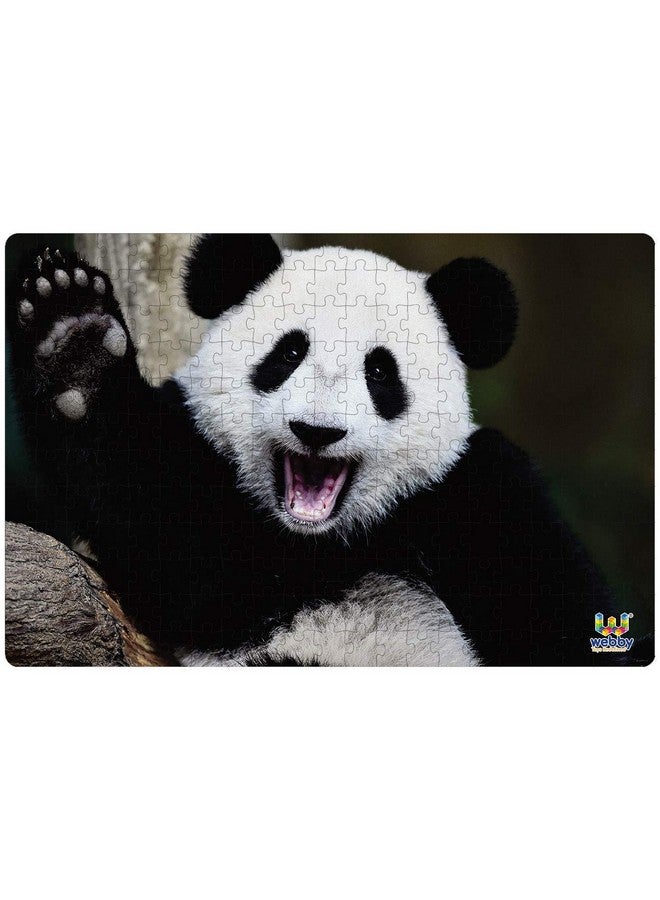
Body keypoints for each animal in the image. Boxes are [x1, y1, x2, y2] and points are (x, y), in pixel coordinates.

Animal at [8, 235, 641, 666]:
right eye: (289, 353)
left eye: (380, 371)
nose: (317, 431)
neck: (327, 540)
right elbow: (179, 538)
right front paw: (76, 345)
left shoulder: (477, 494)